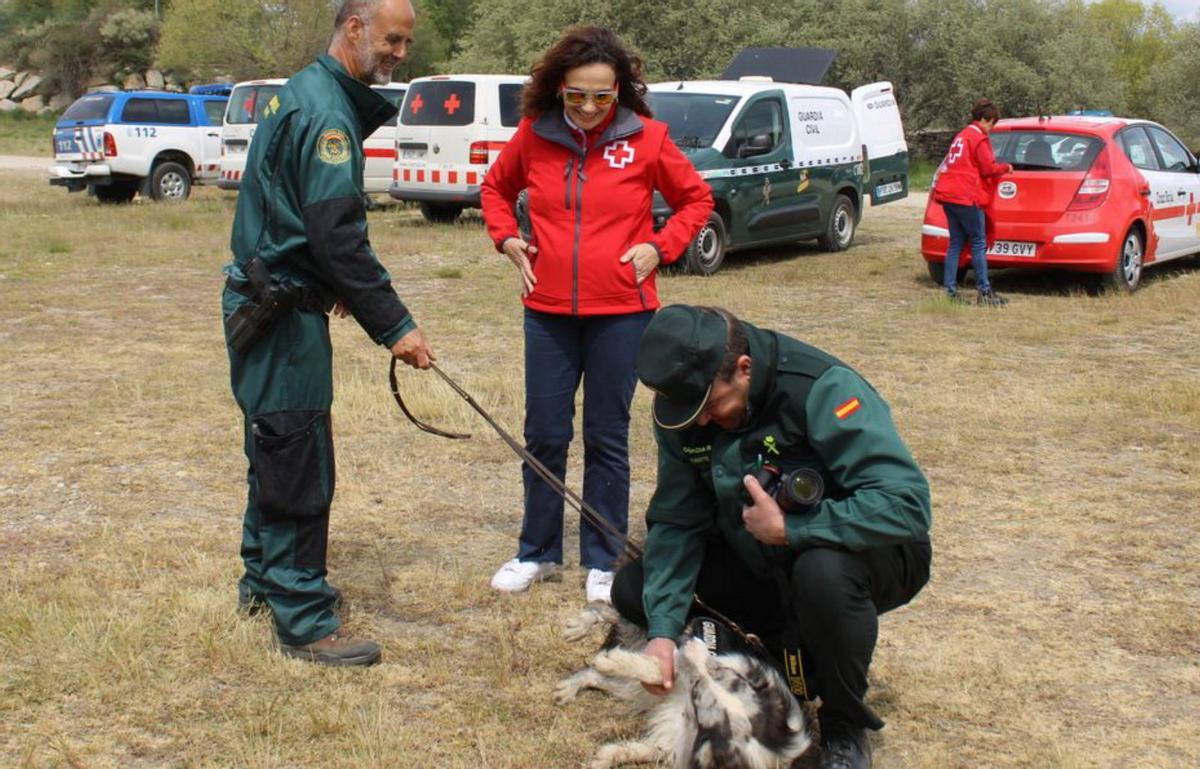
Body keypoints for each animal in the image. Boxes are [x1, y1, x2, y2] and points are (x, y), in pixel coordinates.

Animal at [556, 602, 811, 763]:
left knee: (594, 674)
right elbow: (656, 670)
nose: (694, 643)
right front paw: (614, 660)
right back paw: (579, 627)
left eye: (702, 704)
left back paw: (569, 687)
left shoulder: (675, 738)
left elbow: (646, 749)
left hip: (634, 687)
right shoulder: (680, 665)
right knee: (607, 607)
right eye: (726, 676)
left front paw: (608, 757)